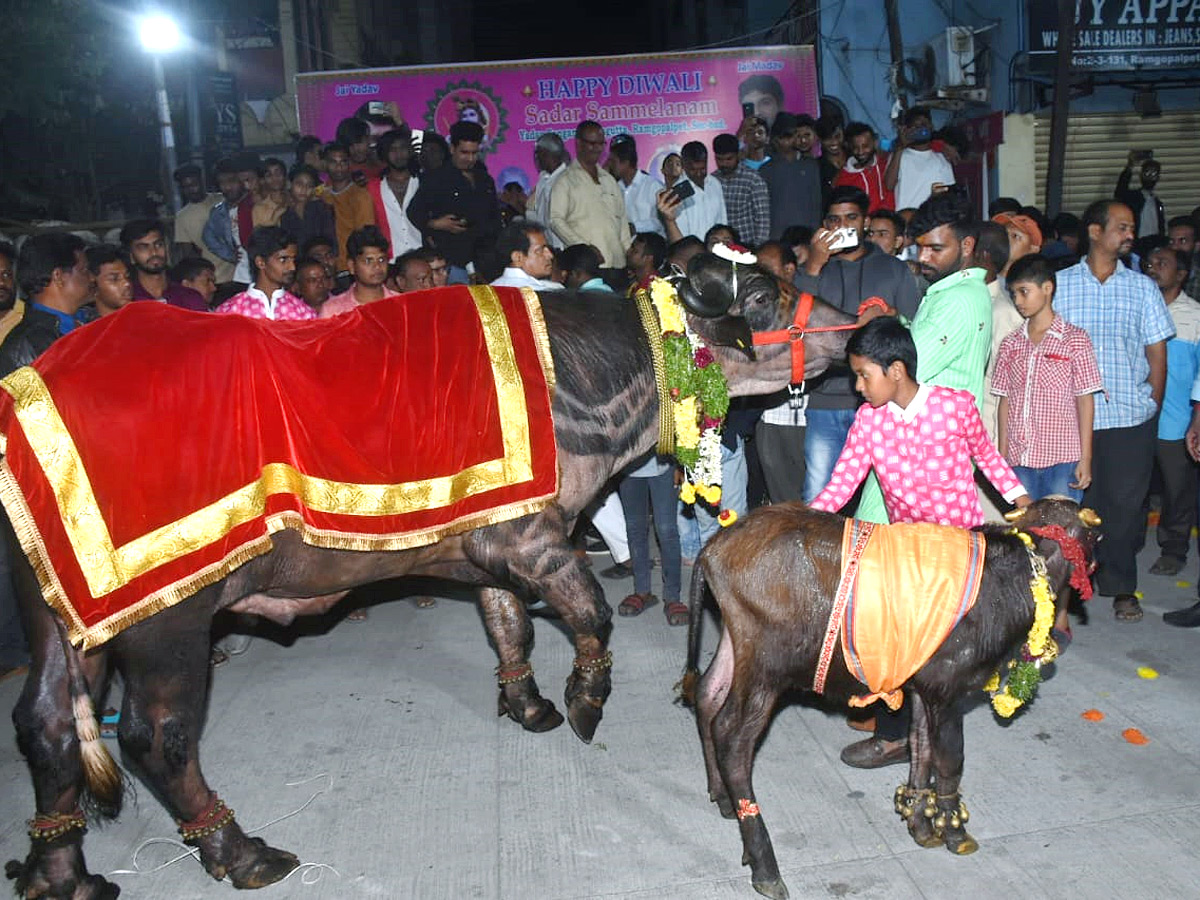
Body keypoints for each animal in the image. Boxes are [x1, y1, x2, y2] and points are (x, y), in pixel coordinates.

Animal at [4, 255, 859, 900]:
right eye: (760, 294)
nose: (851, 329)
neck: (585, 383)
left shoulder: (489, 551)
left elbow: (508, 626)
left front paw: (530, 704)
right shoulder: (536, 539)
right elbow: (591, 614)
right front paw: (585, 700)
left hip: (64, 624)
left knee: (46, 726)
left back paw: (61, 872)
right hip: (168, 623)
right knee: (157, 737)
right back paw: (240, 852)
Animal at [681, 501, 1099, 900]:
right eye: (1093, 535)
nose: (1094, 565)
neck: (1010, 580)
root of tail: (714, 548)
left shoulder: (921, 690)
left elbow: (921, 748)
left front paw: (920, 823)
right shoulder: (947, 692)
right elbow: (950, 761)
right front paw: (956, 832)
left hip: (736, 648)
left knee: (707, 696)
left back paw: (722, 799)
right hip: (764, 670)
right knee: (733, 739)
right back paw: (765, 866)